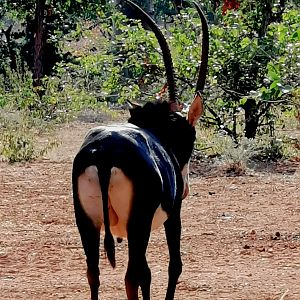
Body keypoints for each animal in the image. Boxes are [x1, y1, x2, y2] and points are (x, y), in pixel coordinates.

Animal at [72, 1, 209, 298]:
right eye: (190, 136)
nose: (185, 188)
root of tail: (104, 153)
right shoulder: (173, 215)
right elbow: (173, 266)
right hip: (138, 226)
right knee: (133, 274)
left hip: (87, 223)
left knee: (94, 273)